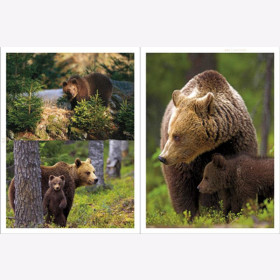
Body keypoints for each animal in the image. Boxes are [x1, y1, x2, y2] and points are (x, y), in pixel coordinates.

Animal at [158, 69, 258, 217]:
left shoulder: (236, 143)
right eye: (170, 133)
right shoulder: (185, 163)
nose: (162, 157)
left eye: (177, 136)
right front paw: (189, 215)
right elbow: (181, 185)